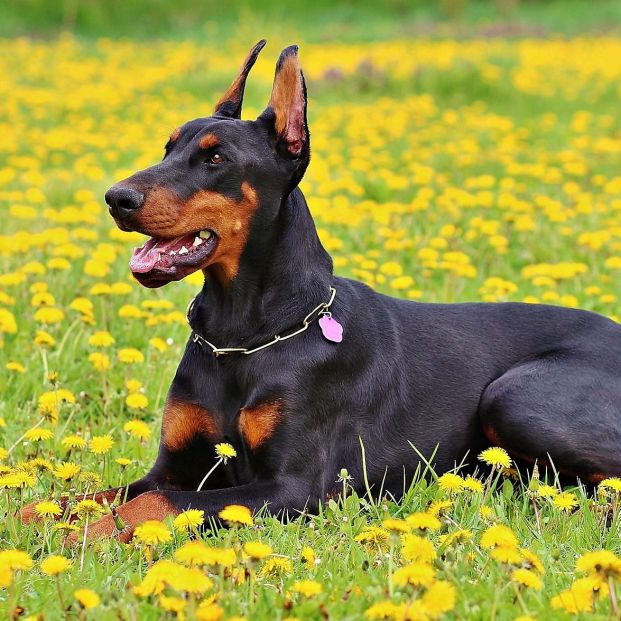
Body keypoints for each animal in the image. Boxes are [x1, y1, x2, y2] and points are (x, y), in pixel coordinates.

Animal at [29, 42, 621, 536]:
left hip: (514, 397)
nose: (116, 198)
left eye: (216, 158)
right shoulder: (173, 467)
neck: (241, 334)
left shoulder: (291, 488)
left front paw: (82, 538)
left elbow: (148, 506)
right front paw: (36, 518)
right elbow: (81, 496)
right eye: (168, 147)